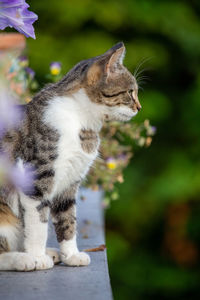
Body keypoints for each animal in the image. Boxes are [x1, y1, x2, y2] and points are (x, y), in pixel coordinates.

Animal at [0, 42, 141, 272]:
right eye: (130, 92)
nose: (139, 107)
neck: (80, 121)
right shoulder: (36, 178)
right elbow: (38, 223)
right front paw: (38, 258)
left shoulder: (70, 181)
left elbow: (68, 220)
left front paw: (72, 255)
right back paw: (24, 259)